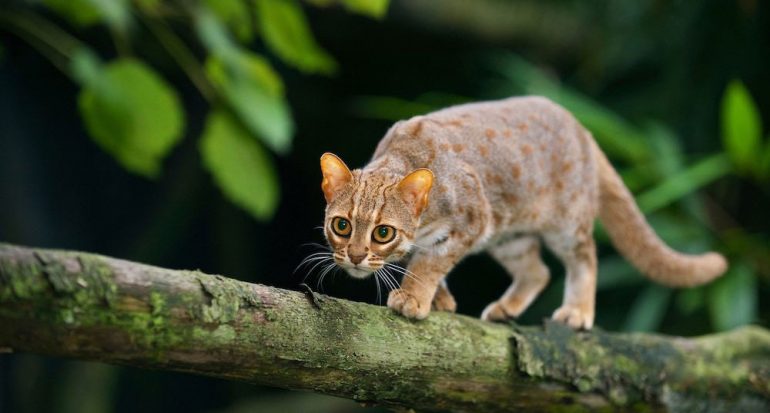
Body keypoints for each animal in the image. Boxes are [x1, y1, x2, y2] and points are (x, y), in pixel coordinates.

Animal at [316, 96, 724, 328]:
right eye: (341, 225)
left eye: (383, 232)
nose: (355, 256)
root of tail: (582, 128)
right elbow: (424, 258)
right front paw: (440, 299)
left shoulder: (472, 221)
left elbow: (429, 262)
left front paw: (414, 297)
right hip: (509, 235)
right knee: (538, 270)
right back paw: (507, 307)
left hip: (566, 224)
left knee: (585, 258)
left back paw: (577, 312)